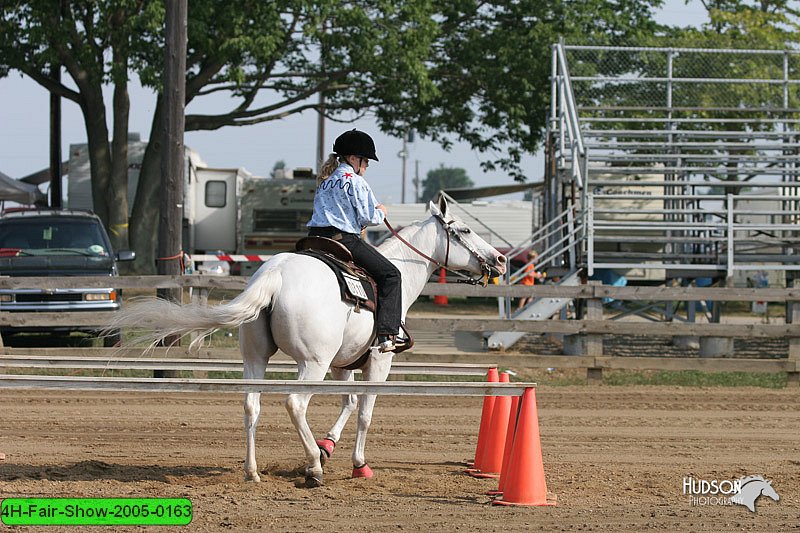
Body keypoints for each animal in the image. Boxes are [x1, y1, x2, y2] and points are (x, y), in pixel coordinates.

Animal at [111, 196, 506, 486]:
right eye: (465, 229)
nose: (500, 259)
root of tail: (276, 272)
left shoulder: (343, 365)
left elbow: (348, 402)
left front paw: (328, 444)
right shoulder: (379, 361)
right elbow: (365, 412)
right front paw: (358, 464)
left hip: (256, 359)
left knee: (251, 406)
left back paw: (252, 471)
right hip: (311, 364)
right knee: (294, 403)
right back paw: (312, 468)